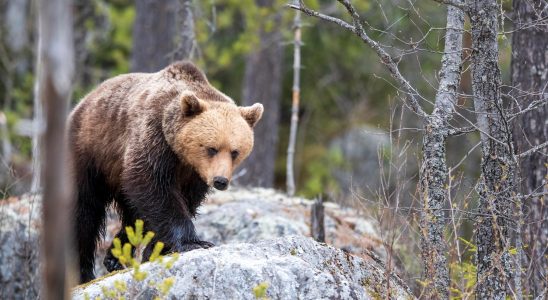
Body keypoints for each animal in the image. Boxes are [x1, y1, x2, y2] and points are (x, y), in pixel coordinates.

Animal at [68, 61, 264, 284]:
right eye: (211, 148)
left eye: (235, 151)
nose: (220, 181)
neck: (181, 154)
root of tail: (84, 100)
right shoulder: (154, 139)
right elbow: (154, 188)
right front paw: (194, 242)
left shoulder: (194, 175)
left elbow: (180, 202)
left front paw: (156, 249)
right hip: (90, 150)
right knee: (83, 212)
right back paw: (83, 272)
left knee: (132, 213)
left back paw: (115, 257)